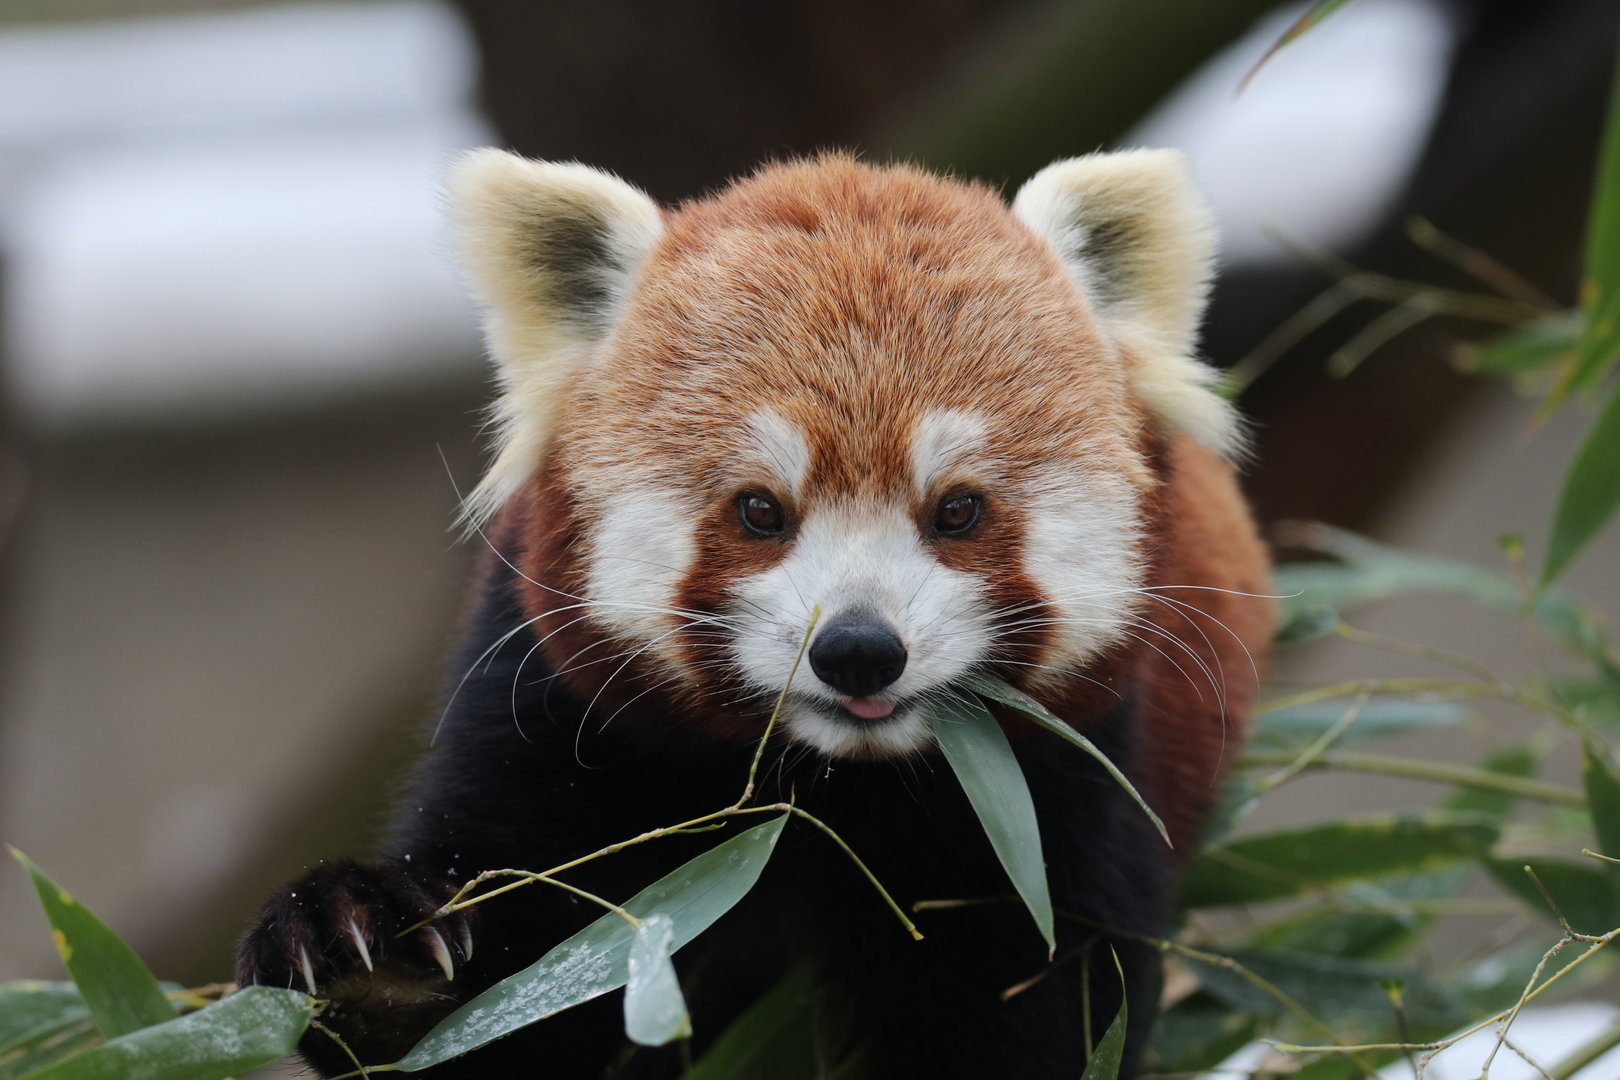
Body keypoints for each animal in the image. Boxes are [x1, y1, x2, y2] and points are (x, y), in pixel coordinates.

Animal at [236, 150, 1273, 1078]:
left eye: (958, 511)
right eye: (760, 511)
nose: (858, 650)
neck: (816, 791)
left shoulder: (1051, 787)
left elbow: (1041, 1017)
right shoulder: (551, 716)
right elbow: (496, 994)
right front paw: (368, 947)